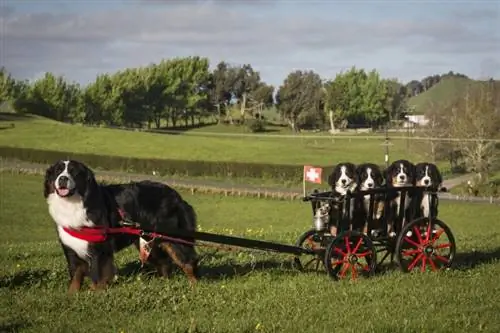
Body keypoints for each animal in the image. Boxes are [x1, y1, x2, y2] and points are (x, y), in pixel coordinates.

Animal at [44, 160, 198, 292]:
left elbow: (98, 275)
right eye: (57, 172)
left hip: (173, 237)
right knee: (164, 262)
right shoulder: (71, 248)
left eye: (74, 172)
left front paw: (95, 294)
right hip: (148, 241)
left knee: (188, 262)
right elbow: (75, 276)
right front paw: (72, 296)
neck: (73, 204)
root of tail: (177, 197)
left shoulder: (100, 248)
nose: (63, 179)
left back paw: (194, 287)